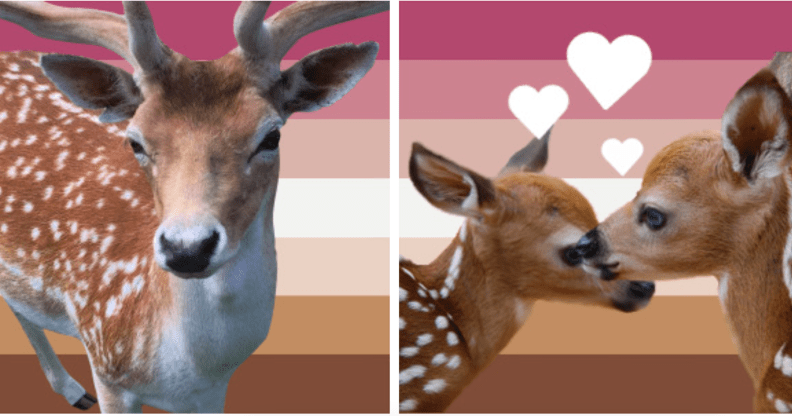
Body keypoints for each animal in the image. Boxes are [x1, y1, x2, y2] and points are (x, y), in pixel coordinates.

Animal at [0, 1, 387, 412]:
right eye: (135, 141)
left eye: (272, 136)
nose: (187, 248)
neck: (189, 372)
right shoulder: (106, 364)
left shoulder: (212, 394)